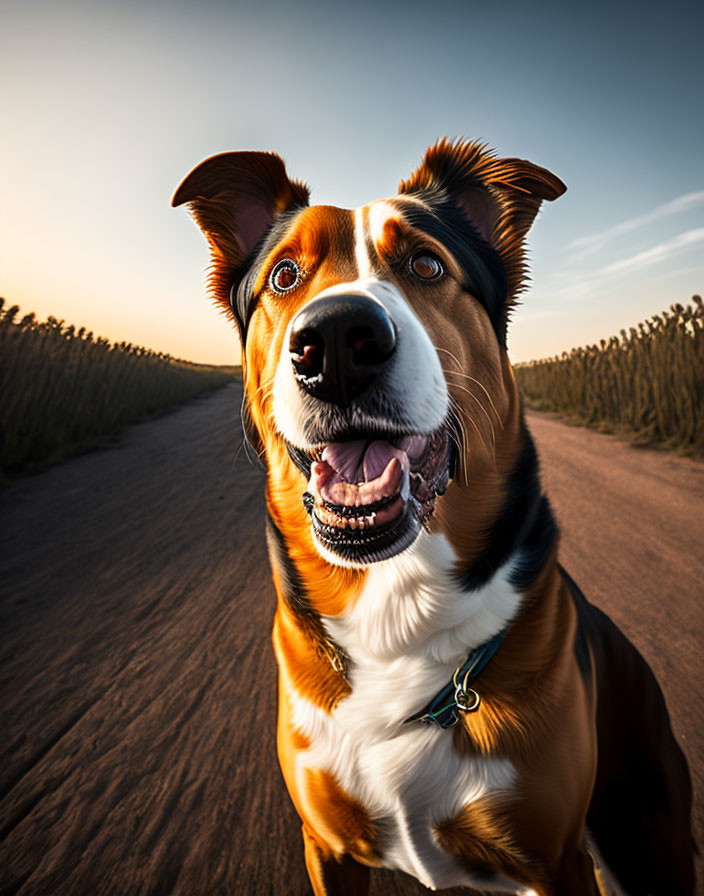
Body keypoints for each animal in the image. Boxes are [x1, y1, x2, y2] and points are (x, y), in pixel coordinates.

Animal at [172, 140, 692, 896]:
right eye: (284, 276)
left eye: (426, 264)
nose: (336, 341)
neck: (398, 612)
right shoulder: (326, 849)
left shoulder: (559, 859)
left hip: (647, 830)